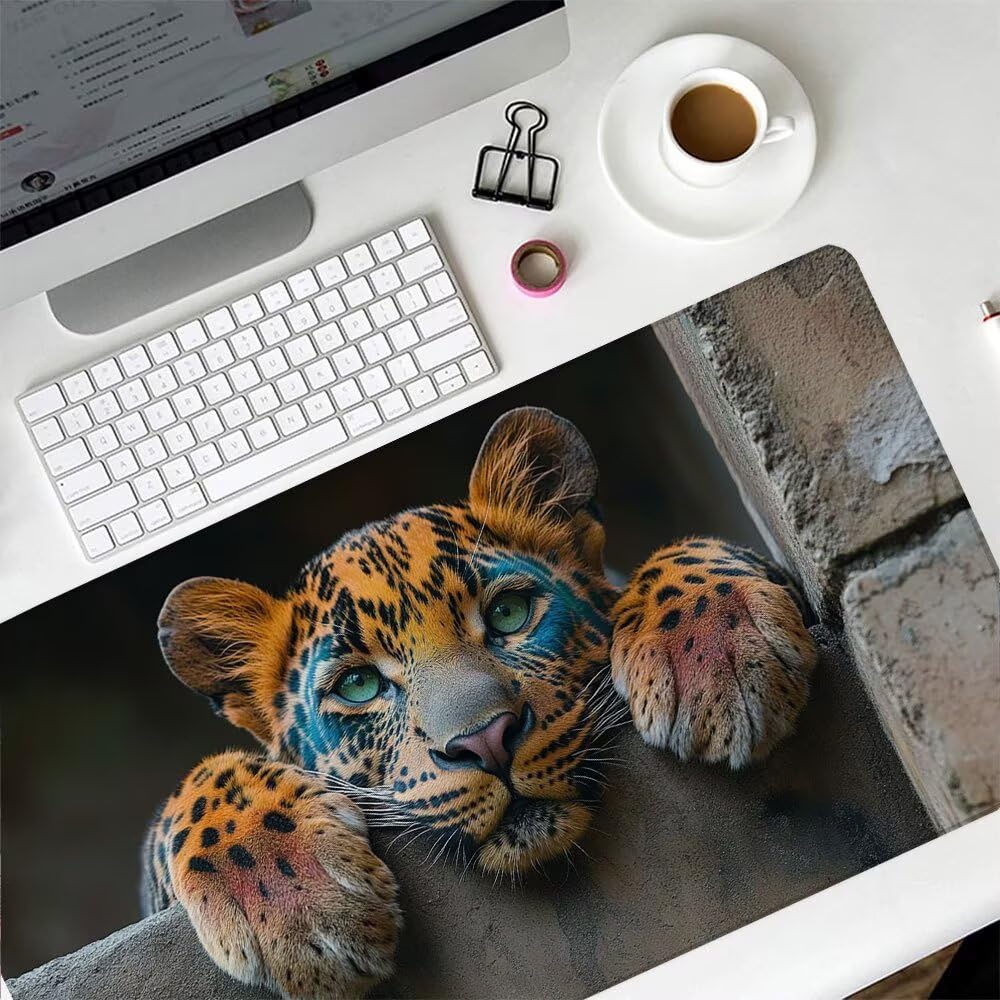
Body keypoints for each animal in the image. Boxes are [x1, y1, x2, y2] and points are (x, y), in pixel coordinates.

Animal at [142, 406, 816, 1000]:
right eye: (358, 685)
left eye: (509, 614)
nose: (486, 743)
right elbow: (193, 788)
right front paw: (290, 899)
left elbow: (696, 549)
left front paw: (714, 656)